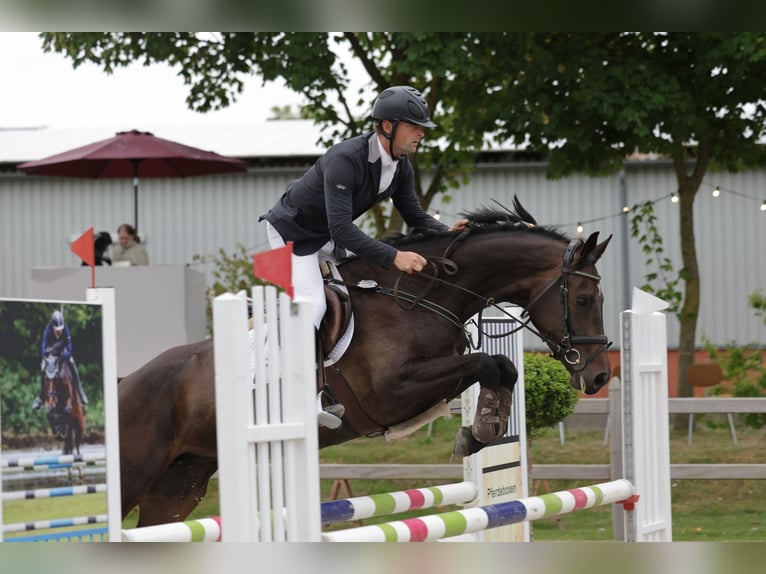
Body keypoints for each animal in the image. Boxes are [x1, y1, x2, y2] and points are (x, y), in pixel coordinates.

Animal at [118, 200, 612, 528]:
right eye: (584, 299)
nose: (599, 375)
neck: (420, 296)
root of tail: (124, 383)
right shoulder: (390, 391)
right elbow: (488, 364)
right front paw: (480, 431)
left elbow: (498, 367)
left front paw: (478, 431)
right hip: (135, 475)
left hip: (178, 487)